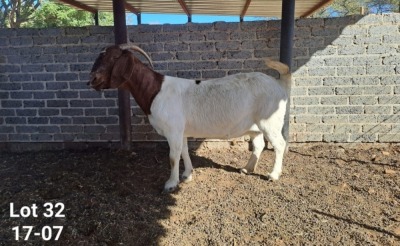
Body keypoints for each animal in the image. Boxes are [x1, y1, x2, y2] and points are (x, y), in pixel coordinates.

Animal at [90, 45, 290, 193]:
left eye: (114, 58)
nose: (92, 79)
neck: (156, 91)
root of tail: (280, 84)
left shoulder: (173, 130)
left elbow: (173, 156)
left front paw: (171, 184)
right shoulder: (182, 131)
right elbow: (184, 151)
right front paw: (187, 175)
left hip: (270, 122)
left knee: (279, 144)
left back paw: (273, 175)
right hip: (255, 125)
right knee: (259, 145)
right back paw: (247, 168)